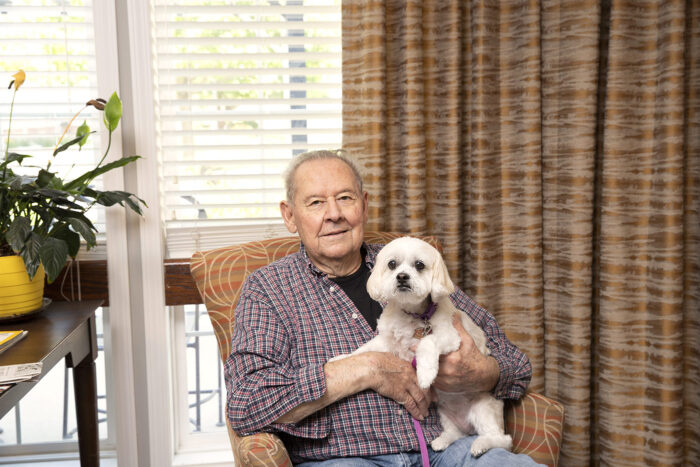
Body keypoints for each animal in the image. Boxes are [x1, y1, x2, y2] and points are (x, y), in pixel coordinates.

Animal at [330, 238, 512, 458]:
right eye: (392, 264)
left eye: (419, 265)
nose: (402, 276)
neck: (414, 315)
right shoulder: (387, 341)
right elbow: (365, 349)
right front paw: (341, 358)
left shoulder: (451, 337)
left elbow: (427, 342)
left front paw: (425, 374)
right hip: (445, 412)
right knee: (456, 432)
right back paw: (443, 440)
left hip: (483, 408)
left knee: (503, 439)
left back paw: (481, 444)